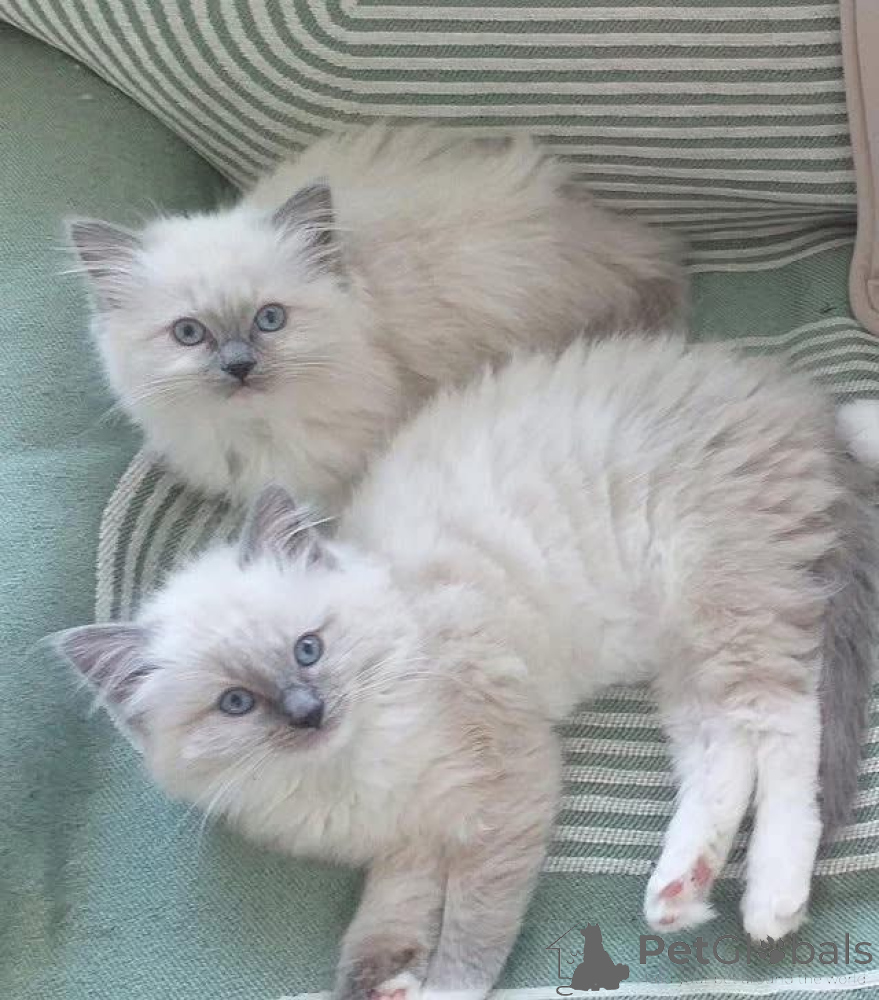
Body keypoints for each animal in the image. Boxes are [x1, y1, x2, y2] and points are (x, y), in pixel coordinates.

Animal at [57, 334, 878, 1000]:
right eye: (236, 704)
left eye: (307, 648)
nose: (307, 711)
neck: (348, 774)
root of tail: (788, 390)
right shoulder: (409, 842)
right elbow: (386, 914)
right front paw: (379, 978)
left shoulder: (504, 783)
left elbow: (470, 930)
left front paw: (436, 983)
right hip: (688, 652)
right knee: (722, 750)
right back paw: (679, 889)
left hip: (724, 604)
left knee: (786, 729)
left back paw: (769, 898)